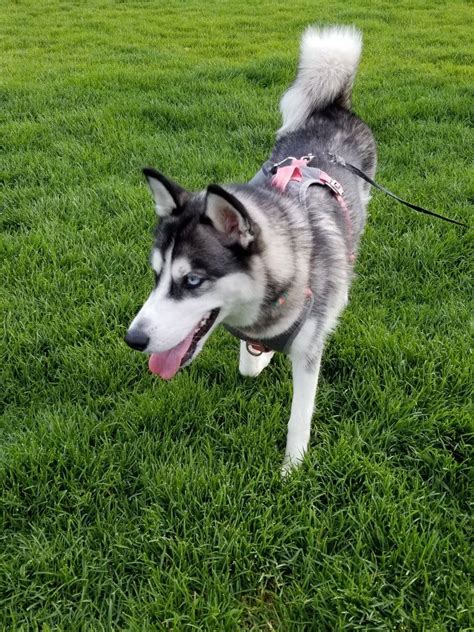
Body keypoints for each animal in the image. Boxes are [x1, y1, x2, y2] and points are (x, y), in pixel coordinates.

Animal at [126, 28, 378, 474]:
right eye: (156, 275)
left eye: (193, 280)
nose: (133, 339)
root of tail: (332, 106)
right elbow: (248, 364)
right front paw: (260, 359)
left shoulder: (309, 353)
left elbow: (299, 417)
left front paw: (291, 473)